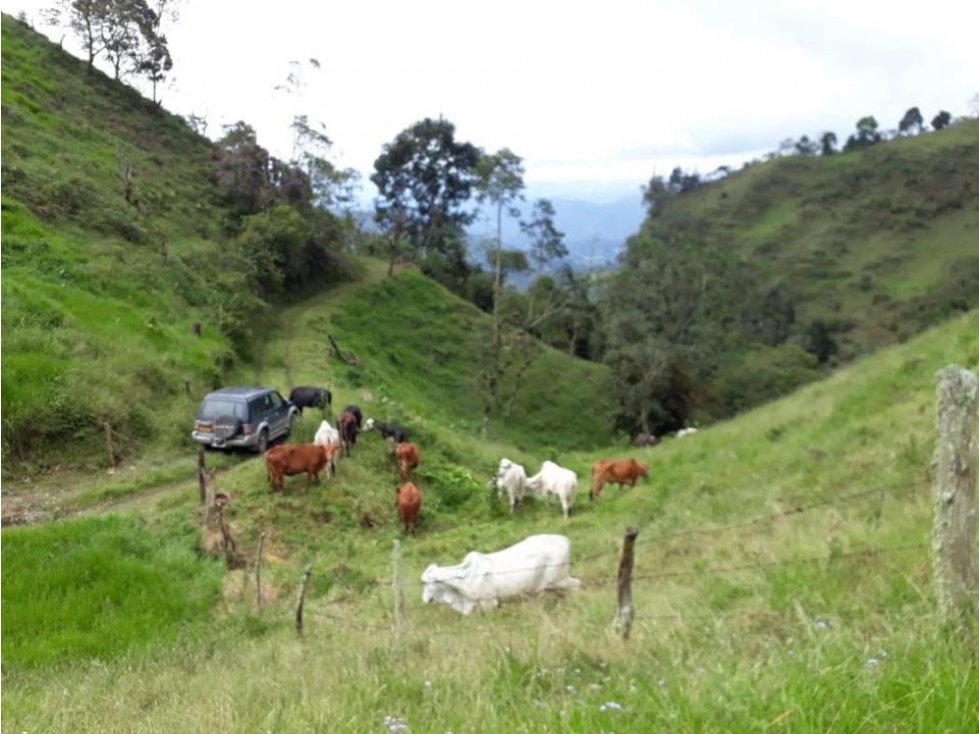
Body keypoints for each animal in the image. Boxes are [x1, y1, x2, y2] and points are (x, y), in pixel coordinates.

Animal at [424, 536, 580, 616]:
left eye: (427, 583)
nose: (425, 600)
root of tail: (565, 540)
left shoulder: (489, 603)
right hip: (552, 586)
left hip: (559, 580)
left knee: (577, 584)